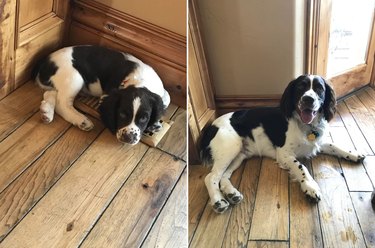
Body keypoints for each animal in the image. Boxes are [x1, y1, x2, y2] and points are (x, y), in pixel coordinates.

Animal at [34, 45, 170, 144]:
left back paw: (46, 112)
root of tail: (45, 62)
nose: (128, 138)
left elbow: (167, 98)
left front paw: (155, 124)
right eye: (121, 114)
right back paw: (81, 120)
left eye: (144, 118)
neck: (141, 81)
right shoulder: (106, 96)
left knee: (49, 93)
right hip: (74, 76)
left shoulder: (161, 93)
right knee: (62, 103)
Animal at [201, 74, 366, 213]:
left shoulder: (317, 142)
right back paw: (218, 201)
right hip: (230, 149)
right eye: (300, 87)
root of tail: (211, 126)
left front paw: (353, 153)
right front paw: (310, 187)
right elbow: (301, 167)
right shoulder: (284, 154)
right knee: (211, 177)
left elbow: (334, 145)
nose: (308, 99)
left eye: (320, 88)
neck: (305, 125)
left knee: (223, 177)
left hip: (239, 155)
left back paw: (232, 193)